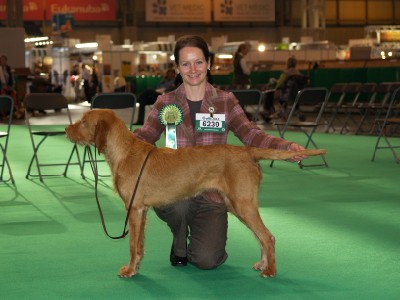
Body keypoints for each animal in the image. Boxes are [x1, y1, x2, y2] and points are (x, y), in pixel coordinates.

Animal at [65, 109, 326, 278]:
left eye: (83, 121)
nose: (67, 129)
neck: (125, 152)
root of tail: (248, 151)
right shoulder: (142, 211)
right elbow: (139, 245)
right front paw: (136, 267)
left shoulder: (135, 209)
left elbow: (131, 245)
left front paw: (129, 271)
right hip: (238, 205)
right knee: (261, 237)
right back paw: (263, 265)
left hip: (243, 204)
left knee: (267, 236)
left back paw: (270, 270)